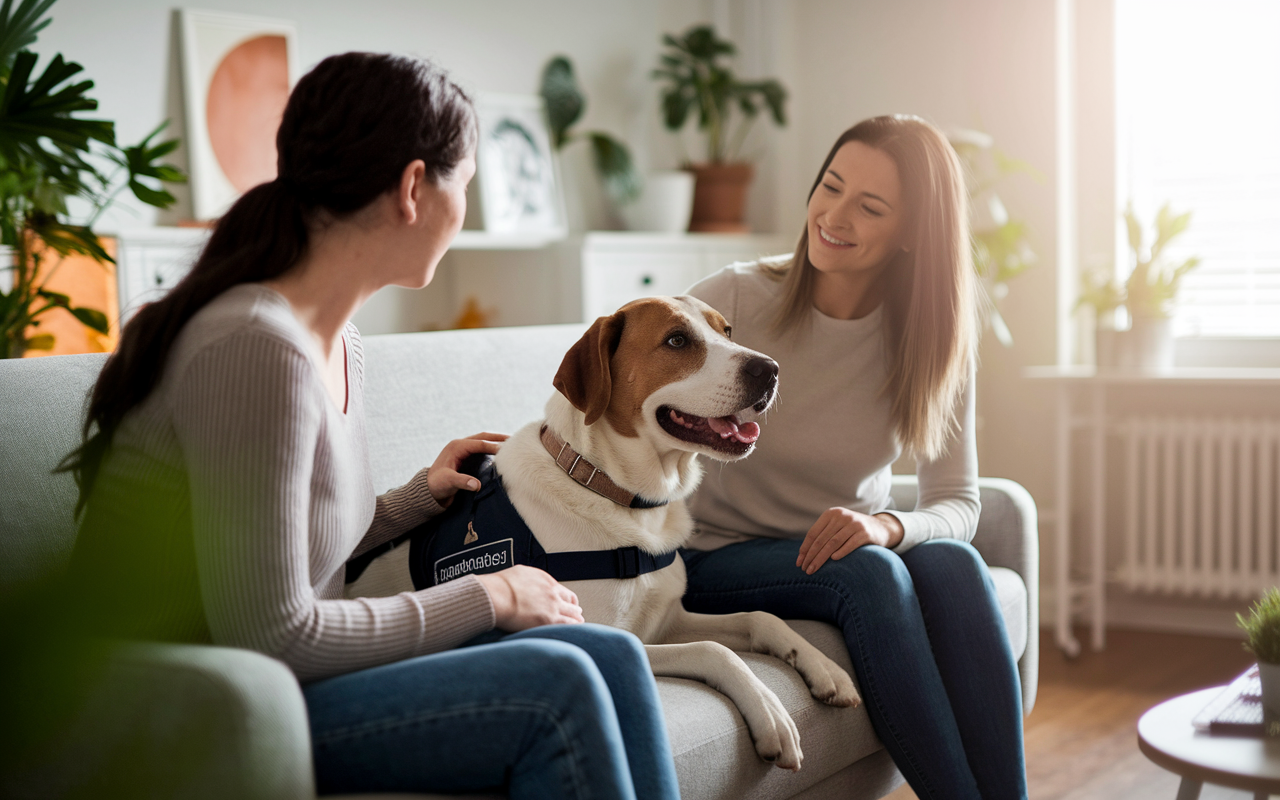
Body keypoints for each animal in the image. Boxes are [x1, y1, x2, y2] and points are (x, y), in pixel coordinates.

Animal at [350, 294, 860, 768]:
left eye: (727, 330)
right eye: (677, 341)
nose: (770, 369)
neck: (619, 495)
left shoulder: (667, 619)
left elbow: (761, 617)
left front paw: (822, 667)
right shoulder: (613, 636)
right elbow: (714, 650)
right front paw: (769, 711)